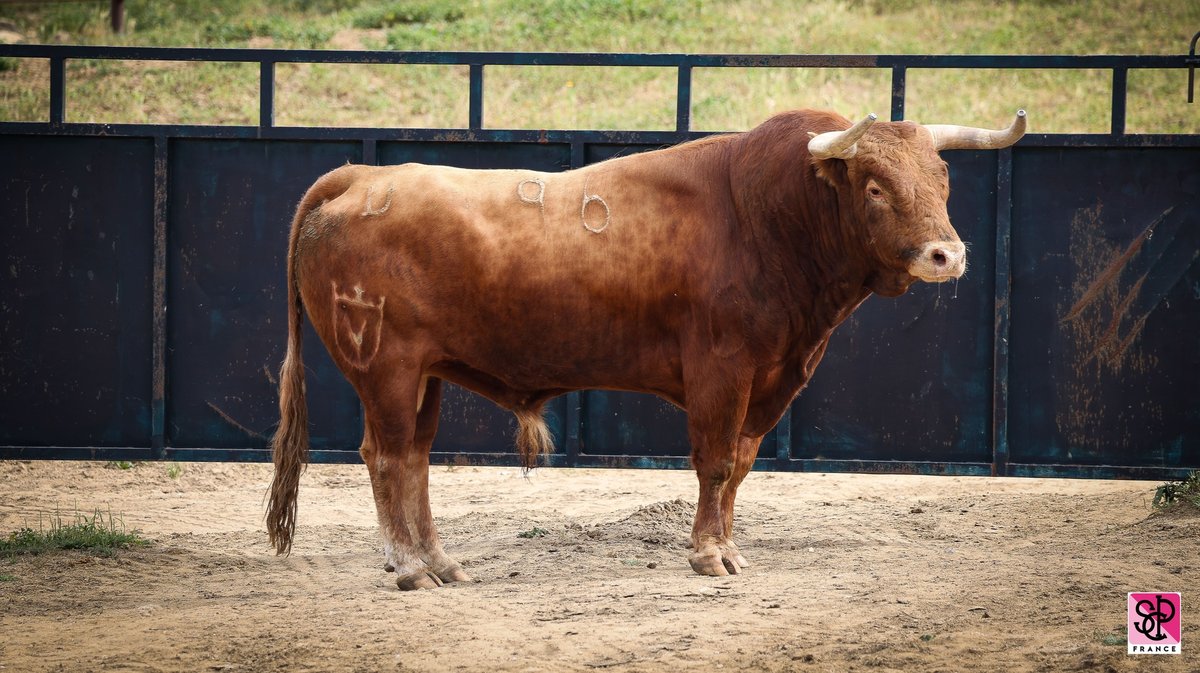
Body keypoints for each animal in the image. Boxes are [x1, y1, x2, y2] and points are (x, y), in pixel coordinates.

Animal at [265, 106, 1022, 587]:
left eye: (943, 180)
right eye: (874, 186)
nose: (946, 254)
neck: (766, 217)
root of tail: (361, 178)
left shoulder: (770, 380)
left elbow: (741, 466)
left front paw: (727, 547)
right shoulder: (722, 369)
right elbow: (716, 463)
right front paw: (708, 556)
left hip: (427, 375)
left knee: (416, 458)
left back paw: (442, 562)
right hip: (386, 368)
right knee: (387, 456)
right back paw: (409, 567)